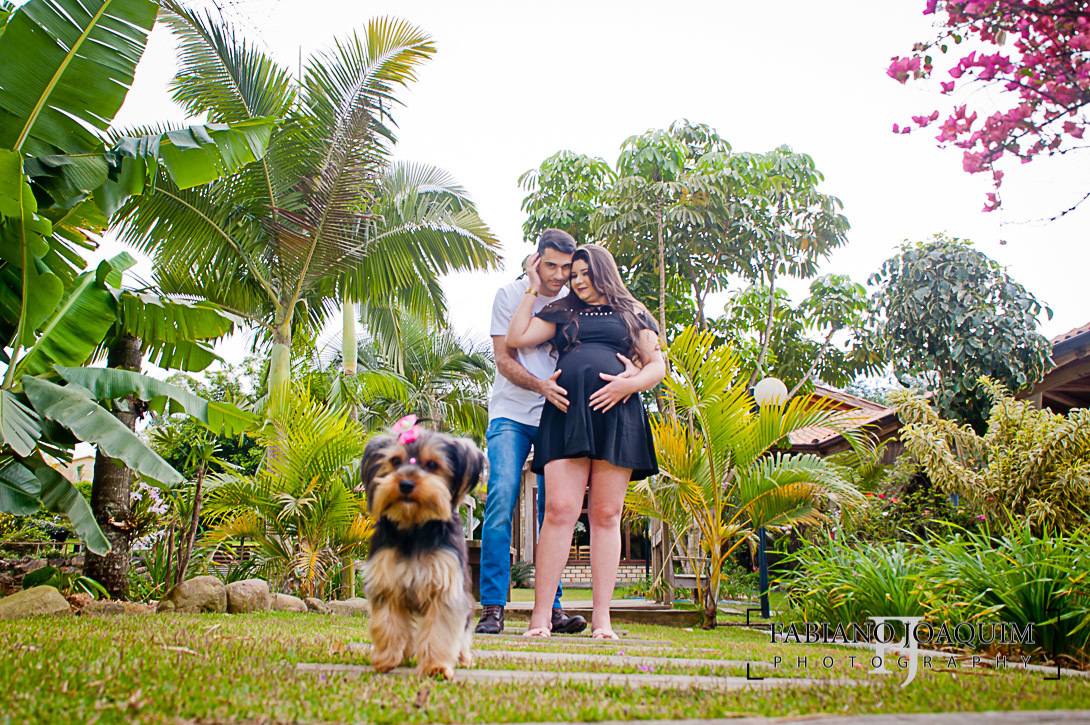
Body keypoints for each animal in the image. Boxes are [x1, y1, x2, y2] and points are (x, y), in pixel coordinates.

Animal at [359, 416, 485, 679]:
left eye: (432, 465)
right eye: (395, 461)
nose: (406, 484)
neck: (414, 525)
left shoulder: (446, 587)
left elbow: (440, 630)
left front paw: (436, 667)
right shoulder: (387, 581)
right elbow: (387, 622)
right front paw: (386, 658)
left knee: (463, 632)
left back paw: (463, 657)